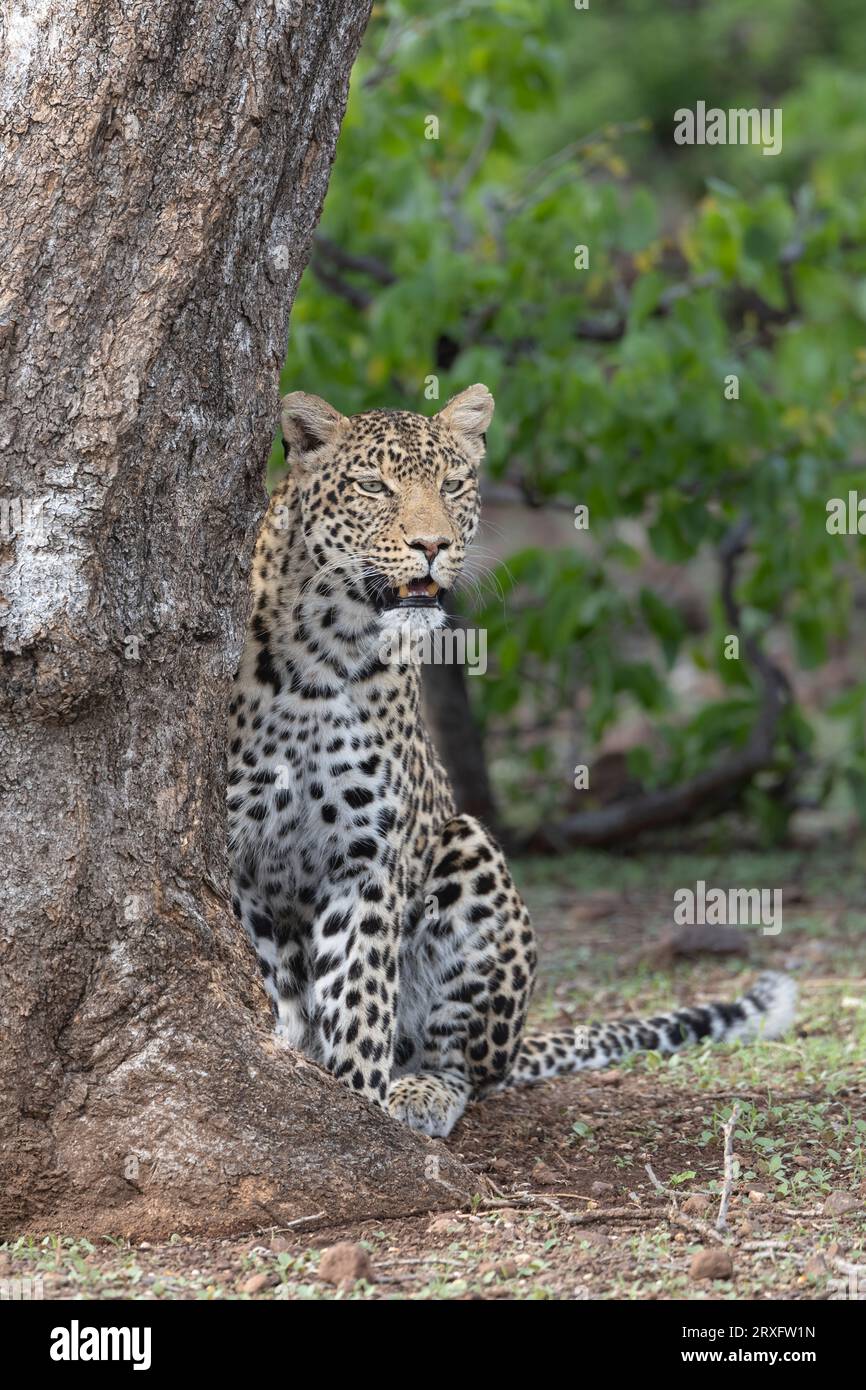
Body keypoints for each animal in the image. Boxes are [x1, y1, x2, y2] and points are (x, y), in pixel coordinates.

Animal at [227, 383, 797, 1138]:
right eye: (374, 486)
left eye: (452, 483)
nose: (432, 545)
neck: (324, 655)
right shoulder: (239, 861)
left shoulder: (368, 860)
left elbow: (361, 1002)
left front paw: (358, 1106)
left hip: (467, 850)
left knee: (463, 1062)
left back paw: (421, 1095)